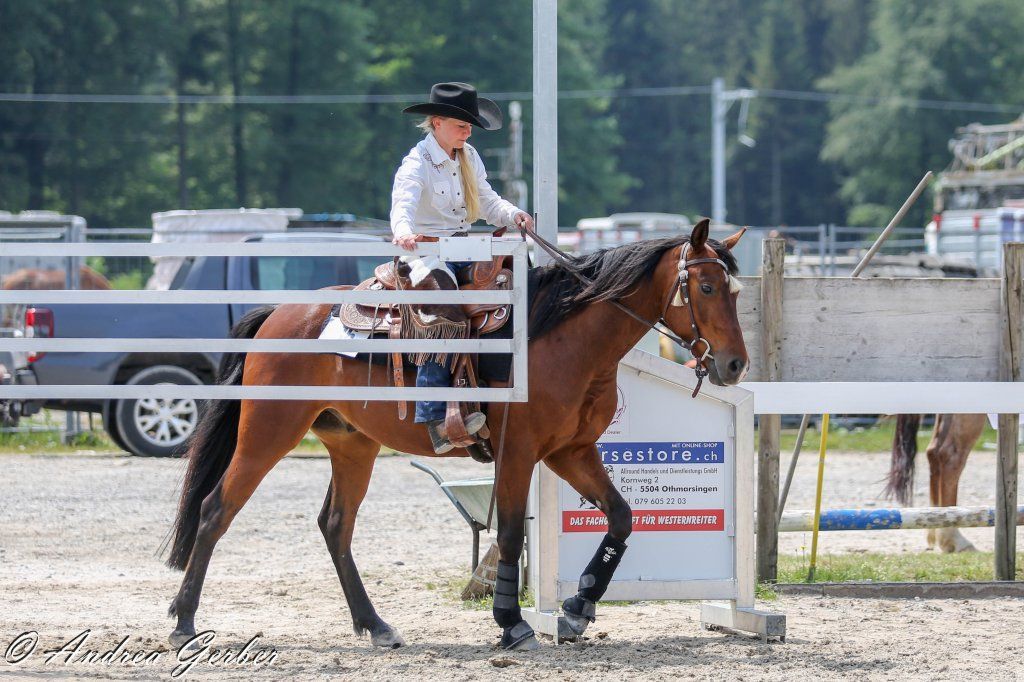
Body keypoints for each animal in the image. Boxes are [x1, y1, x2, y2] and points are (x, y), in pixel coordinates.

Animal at [163, 219, 749, 650]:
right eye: (705, 286)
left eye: (735, 290)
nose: (735, 364)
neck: (563, 339)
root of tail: (278, 314)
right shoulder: (519, 454)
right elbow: (510, 534)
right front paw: (511, 622)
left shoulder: (570, 452)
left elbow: (622, 517)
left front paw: (579, 606)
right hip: (268, 430)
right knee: (216, 510)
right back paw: (183, 623)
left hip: (353, 444)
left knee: (335, 526)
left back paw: (376, 626)